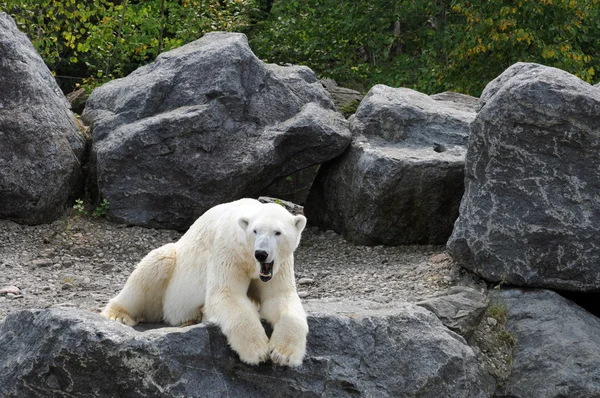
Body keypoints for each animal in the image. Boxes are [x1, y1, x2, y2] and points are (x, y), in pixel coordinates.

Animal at [101, 199, 308, 366]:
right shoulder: (228, 251)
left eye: (278, 232)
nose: (261, 253)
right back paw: (118, 315)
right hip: (173, 266)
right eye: (255, 231)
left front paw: (283, 354)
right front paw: (257, 351)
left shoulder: (280, 266)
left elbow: (279, 297)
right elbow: (226, 295)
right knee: (156, 263)